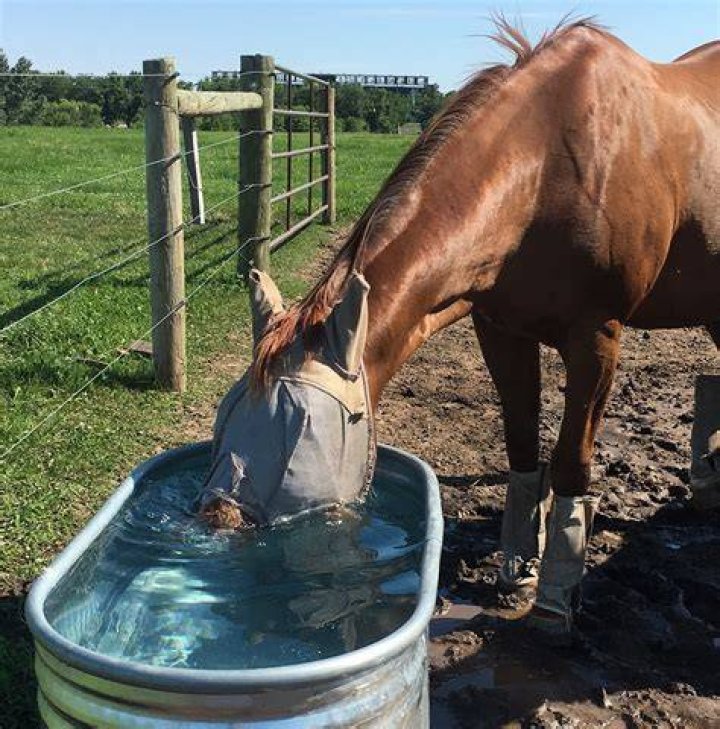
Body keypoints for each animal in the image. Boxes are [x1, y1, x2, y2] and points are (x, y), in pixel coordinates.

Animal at [203, 18, 720, 639]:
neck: (550, 168)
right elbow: (522, 448)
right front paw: (517, 574)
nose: (216, 521)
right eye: (224, 417)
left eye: (302, 431)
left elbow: (572, 460)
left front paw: (554, 600)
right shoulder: (500, 330)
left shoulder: (598, 337)